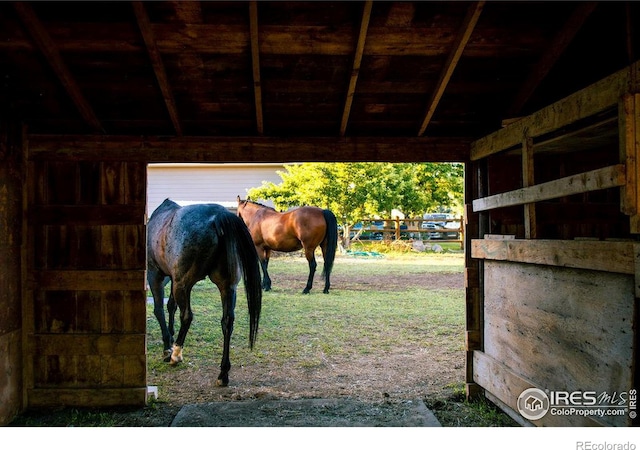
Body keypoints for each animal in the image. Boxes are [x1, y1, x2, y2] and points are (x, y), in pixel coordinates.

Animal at [148, 200, 262, 386]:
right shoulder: (172, 277)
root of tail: (219, 215)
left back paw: (176, 354)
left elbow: (159, 310)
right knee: (227, 322)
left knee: (187, 316)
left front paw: (167, 347)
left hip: (182, 284)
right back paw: (223, 373)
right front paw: (170, 337)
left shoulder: (155, 275)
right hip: (227, 287)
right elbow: (170, 306)